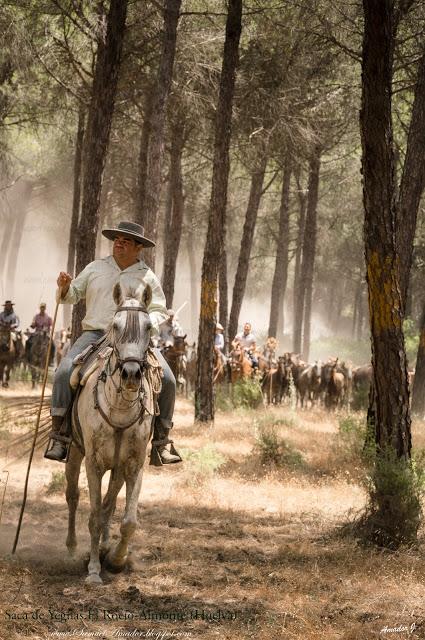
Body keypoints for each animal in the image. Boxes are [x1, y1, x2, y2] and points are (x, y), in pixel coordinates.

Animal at [64, 282, 154, 584]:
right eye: (115, 325)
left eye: (149, 326)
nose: (131, 374)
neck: (119, 409)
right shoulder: (93, 463)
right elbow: (92, 514)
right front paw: (93, 570)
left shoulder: (135, 465)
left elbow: (128, 521)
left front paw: (115, 560)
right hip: (75, 453)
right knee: (72, 496)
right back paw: (72, 547)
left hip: (118, 469)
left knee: (110, 504)